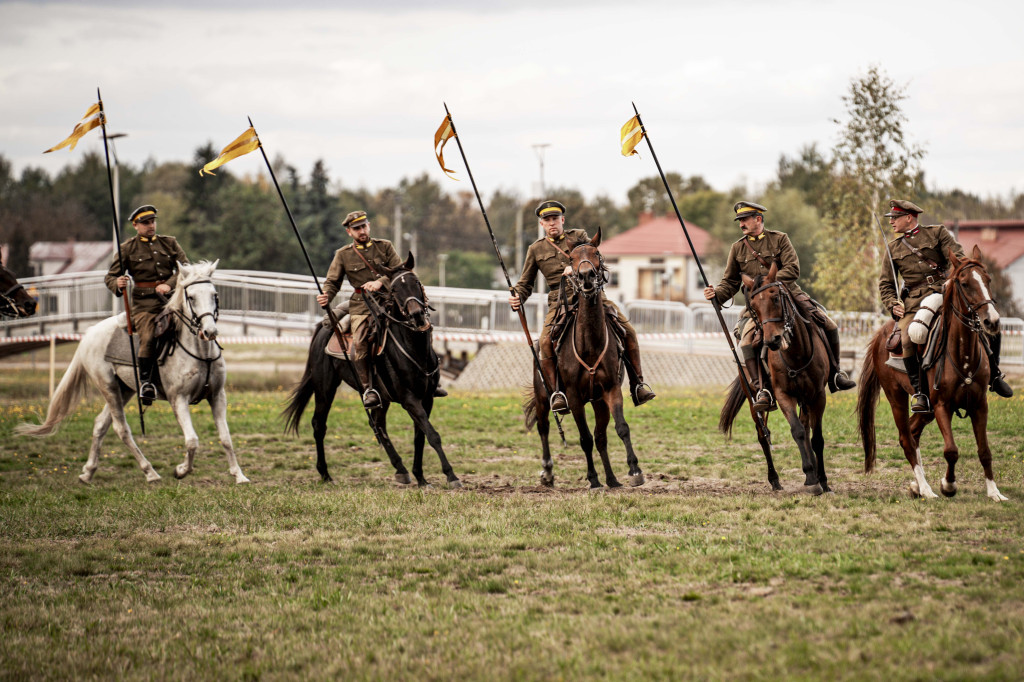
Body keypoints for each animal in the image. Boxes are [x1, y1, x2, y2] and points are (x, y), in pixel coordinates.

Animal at [16, 260, 249, 483]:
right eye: (191, 297)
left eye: (214, 295)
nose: (210, 331)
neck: (200, 352)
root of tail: (90, 333)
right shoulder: (178, 399)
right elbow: (192, 440)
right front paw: (181, 470)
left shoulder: (217, 396)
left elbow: (226, 438)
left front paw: (239, 475)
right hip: (109, 387)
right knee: (121, 429)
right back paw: (150, 472)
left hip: (125, 389)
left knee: (100, 424)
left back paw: (88, 472)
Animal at [282, 251, 462, 485]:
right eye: (395, 290)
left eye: (416, 282)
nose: (417, 315)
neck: (414, 349)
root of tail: (323, 328)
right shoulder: (410, 399)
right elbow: (433, 435)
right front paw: (450, 475)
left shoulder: (427, 397)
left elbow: (420, 436)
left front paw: (421, 477)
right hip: (325, 388)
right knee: (319, 425)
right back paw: (325, 473)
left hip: (380, 397)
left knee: (378, 426)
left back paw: (401, 469)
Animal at [720, 261, 831, 493]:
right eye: (754, 305)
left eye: (776, 298)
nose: (772, 340)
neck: (796, 354)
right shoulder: (783, 395)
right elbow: (797, 431)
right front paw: (811, 477)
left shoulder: (817, 395)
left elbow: (815, 437)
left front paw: (822, 480)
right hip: (754, 398)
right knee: (763, 435)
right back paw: (774, 479)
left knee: (806, 427)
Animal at [856, 244, 1007, 499]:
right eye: (965, 283)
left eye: (987, 279)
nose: (992, 321)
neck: (963, 354)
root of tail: (882, 333)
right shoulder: (942, 406)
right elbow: (951, 450)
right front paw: (948, 485)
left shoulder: (979, 405)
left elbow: (985, 450)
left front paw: (994, 491)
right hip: (898, 397)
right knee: (906, 439)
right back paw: (926, 489)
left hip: (926, 409)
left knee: (913, 433)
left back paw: (918, 485)